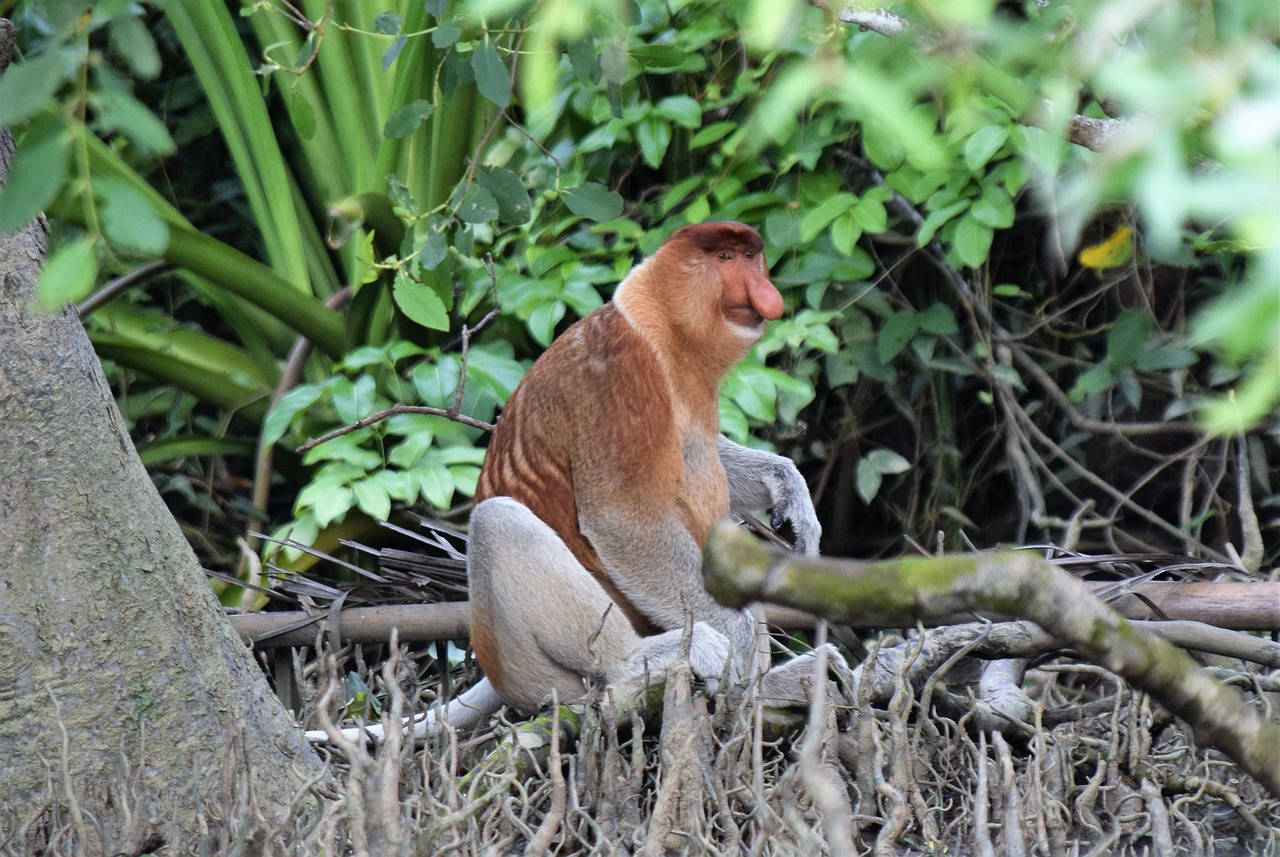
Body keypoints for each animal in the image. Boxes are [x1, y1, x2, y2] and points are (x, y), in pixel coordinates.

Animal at [308, 221, 839, 746]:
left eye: (752, 257)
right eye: (726, 258)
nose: (766, 293)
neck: (664, 331)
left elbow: (706, 457)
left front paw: (790, 493)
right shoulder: (620, 375)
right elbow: (623, 520)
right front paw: (743, 652)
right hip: (532, 671)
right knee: (498, 523)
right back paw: (657, 661)